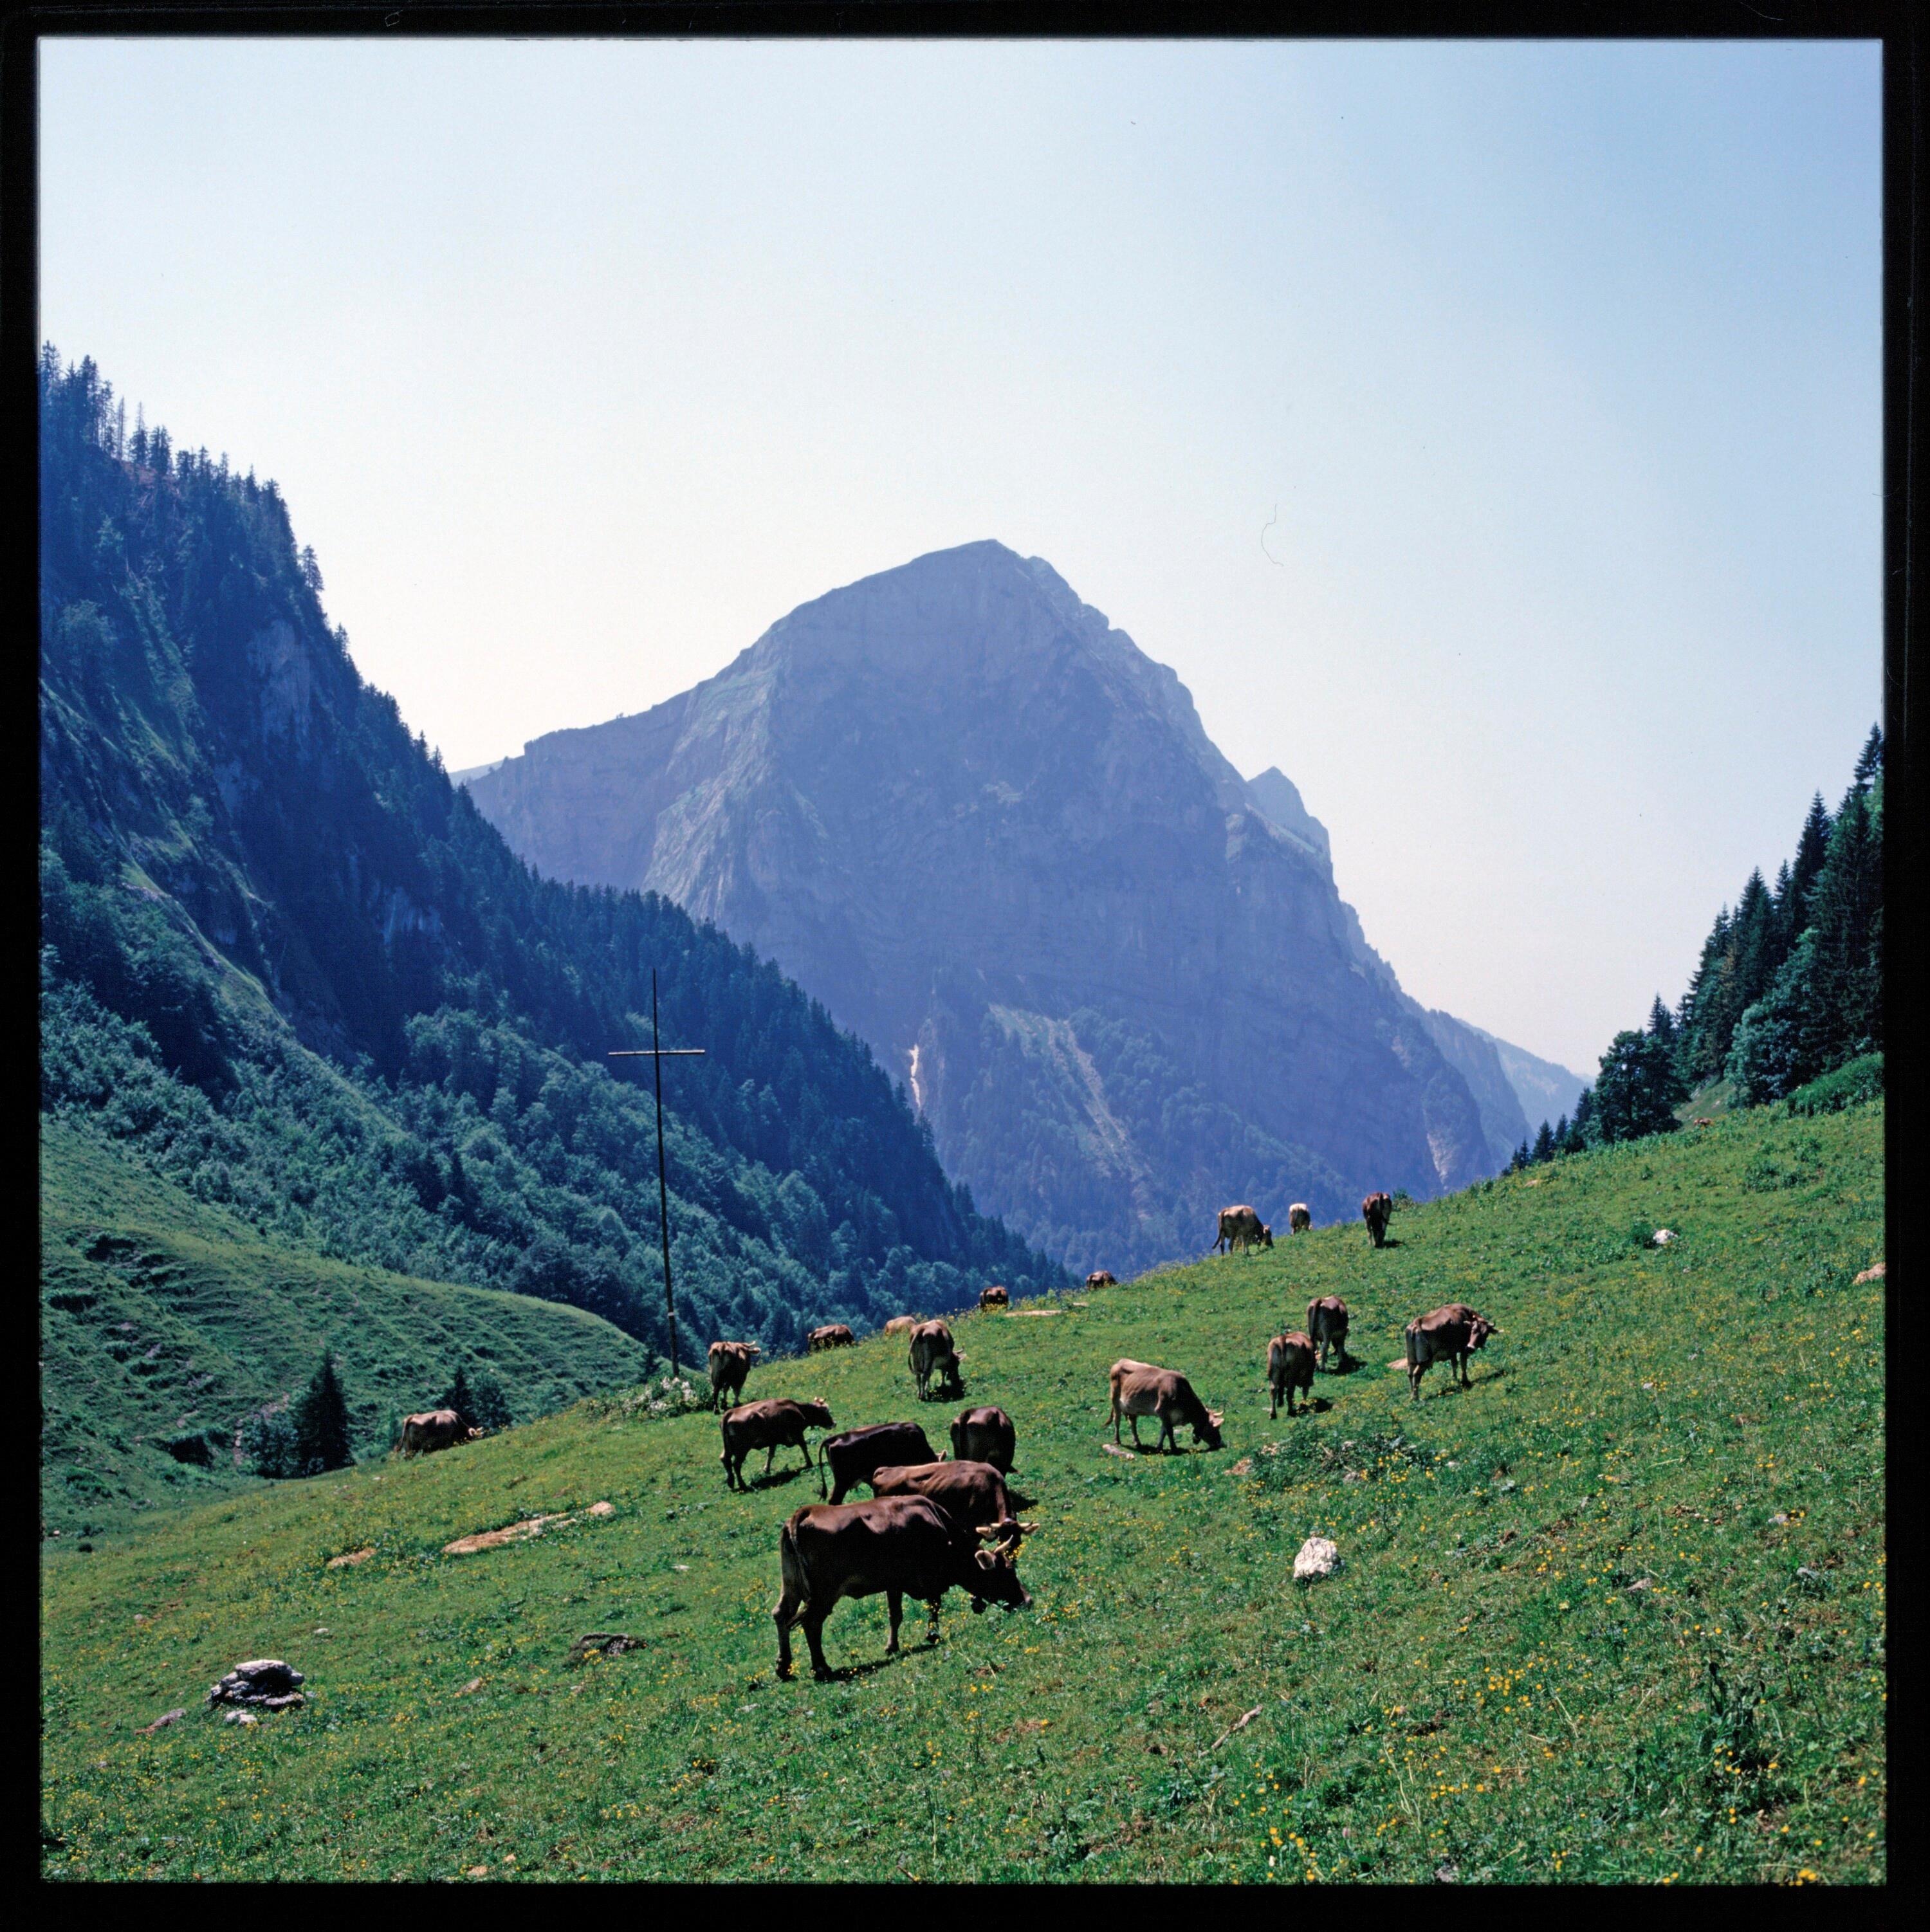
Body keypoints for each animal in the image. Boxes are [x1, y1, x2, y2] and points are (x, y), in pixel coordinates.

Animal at [720, 1397, 836, 1492]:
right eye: (826, 1411)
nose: (834, 1423)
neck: (798, 1409)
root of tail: (731, 1412)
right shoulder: (797, 1433)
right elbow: (804, 1447)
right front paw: (809, 1463)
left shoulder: (773, 1441)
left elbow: (770, 1454)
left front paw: (766, 1469)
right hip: (743, 1449)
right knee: (736, 1464)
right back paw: (742, 1485)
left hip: (729, 1448)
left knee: (725, 1459)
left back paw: (730, 1482)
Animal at [773, 1495, 1031, 1680]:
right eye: (1007, 1571)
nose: (1028, 1600)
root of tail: (805, 1512)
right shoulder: (928, 1578)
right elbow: (934, 1605)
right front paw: (932, 1635)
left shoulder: (894, 1583)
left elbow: (895, 1615)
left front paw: (892, 1646)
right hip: (824, 1594)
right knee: (811, 1623)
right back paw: (821, 1667)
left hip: (792, 1586)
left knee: (781, 1615)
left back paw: (784, 1667)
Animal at [1108, 1359, 1224, 1453]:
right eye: (1214, 1428)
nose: (1220, 1444)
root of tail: (1120, 1362)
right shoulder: (1162, 1411)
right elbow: (1169, 1432)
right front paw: (1174, 1448)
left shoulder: (1167, 1415)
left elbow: (1163, 1431)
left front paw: (1159, 1448)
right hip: (1115, 1400)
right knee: (1117, 1420)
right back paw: (1117, 1441)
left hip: (1132, 1407)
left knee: (1133, 1423)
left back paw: (1138, 1443)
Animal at [1267, 1333, 1316, 1418]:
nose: (1312, 1383)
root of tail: (1283, 1339)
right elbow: (1305, 1392)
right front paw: (1303, 1406)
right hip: (1291, 1375)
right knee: (1290, 1392)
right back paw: (1291, 1411)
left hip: (1273, 1372)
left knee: (1273, 1391)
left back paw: (1273, 1414)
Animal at [1404, 1303, 1499, 1401]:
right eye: (1473, 1330)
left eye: (1485, 1333)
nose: (1471, 1348)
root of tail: (1417, 1323)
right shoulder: (1463, 1349)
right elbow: (1463, 1364)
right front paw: (1465, 1381)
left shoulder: (1452, 1352)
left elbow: (1454, 1365)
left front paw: (1455, 1380)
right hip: (1425, 1361)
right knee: (1416, 1374)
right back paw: (1416, 1397)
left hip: (1411, 1360)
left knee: (1410, 1374)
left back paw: (1412, 1397)